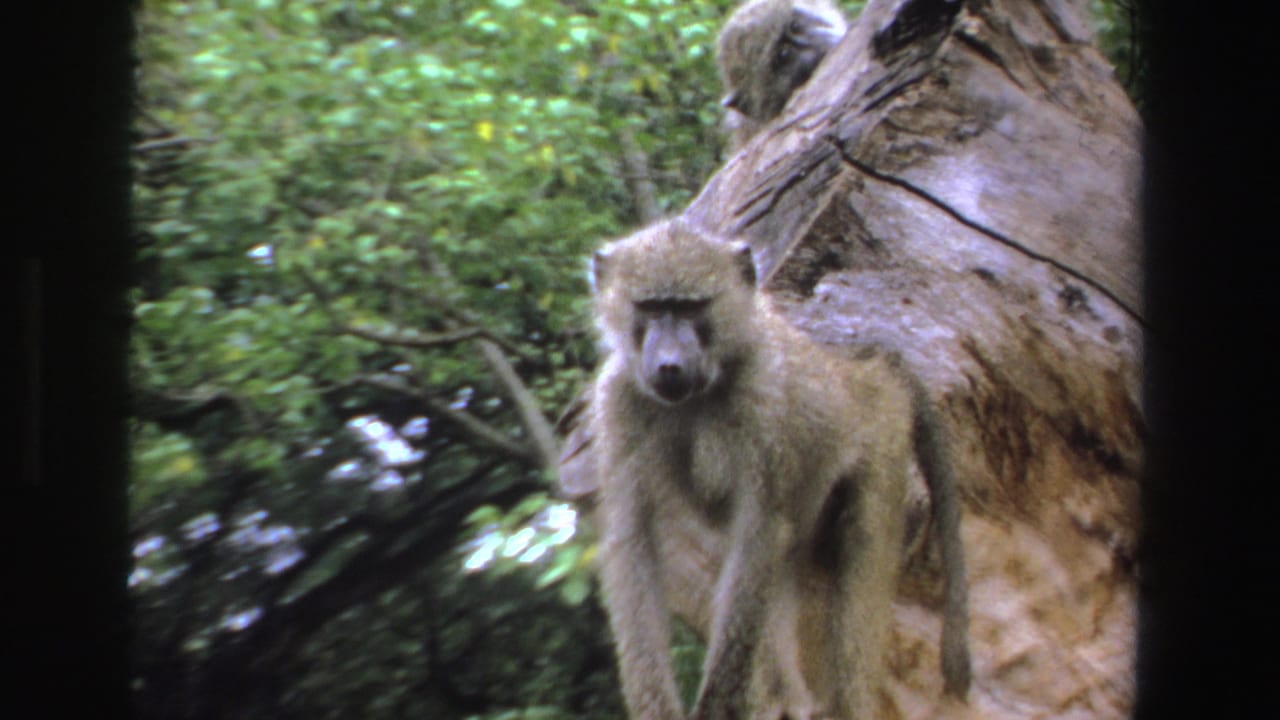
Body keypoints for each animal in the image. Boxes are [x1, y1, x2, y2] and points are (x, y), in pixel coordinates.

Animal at [588, 219, 970, 719]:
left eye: (690, 308)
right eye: (651, 308)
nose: (669, 365)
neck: (700, 395)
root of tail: (865, 370)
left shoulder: (763, 402)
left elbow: (759, 529)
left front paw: (716, 705)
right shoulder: (619, 402)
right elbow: (634, 540)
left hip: (885, 441)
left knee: (857, 558)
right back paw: (785, 700)